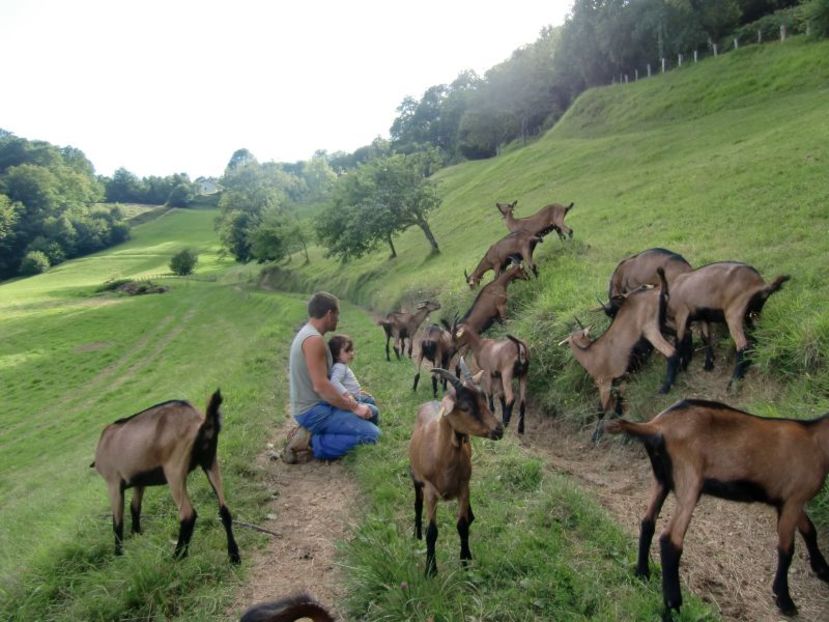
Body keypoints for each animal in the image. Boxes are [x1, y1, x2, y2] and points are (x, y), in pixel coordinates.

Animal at [91, 390, 239, 564]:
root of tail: (199, 421)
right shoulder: (139, 482)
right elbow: (135, 507)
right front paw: (136, 534)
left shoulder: (113, 482)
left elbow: (117, 521)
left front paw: (118, 553)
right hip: (209, 461)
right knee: (224, 509)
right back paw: (234, 556)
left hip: (174, 470)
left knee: (188, 514)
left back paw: (177, 556)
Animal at [410, 364, 504, 576]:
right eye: (465, 407)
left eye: (484, 399)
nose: (499, 429)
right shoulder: (430, 491)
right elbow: (432, 532)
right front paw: (431, 570)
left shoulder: (464, 487)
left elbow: (462, 525)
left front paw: (465, 560)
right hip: (416, 480)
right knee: (417, 504)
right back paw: (416, 533)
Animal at [604, 402, 828, 620]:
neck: (816, 439)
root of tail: (656, 425)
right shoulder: (794, 498)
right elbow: (787, 549)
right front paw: (785, 601)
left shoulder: (786, 502)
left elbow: (810, 529)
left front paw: (822, 568)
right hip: (690, 480)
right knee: (670, 540)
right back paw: (673, 607)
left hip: (662, 480)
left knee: (647, 521)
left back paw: (642, 573)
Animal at [660, 262, 788, 386]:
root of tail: (761, 285)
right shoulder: (703, 316)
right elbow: (705, 337)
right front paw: (709, 363)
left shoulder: (681, 314)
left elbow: (679, 340)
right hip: (752, 314)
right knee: (757, 336)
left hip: (734, 313)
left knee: (743, 345)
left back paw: (734, 382)